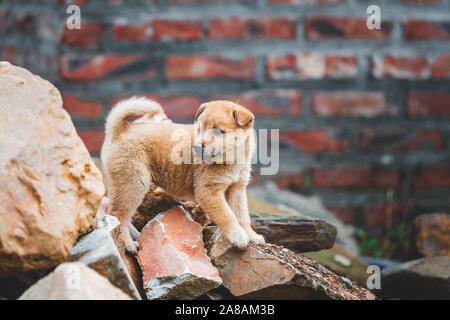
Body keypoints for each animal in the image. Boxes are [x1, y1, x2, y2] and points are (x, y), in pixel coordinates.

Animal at [102, 96, 264, 254]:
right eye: (199, 129)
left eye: (218, 131)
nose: (197, 147)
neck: (232, 161)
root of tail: (120, 130)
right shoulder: (208, 191)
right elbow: (227, 215)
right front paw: (238, 236)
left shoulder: (237, 189)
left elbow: (242, 216)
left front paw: (251, 235)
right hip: (134, 183)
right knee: (117, 214)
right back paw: (127, 243)